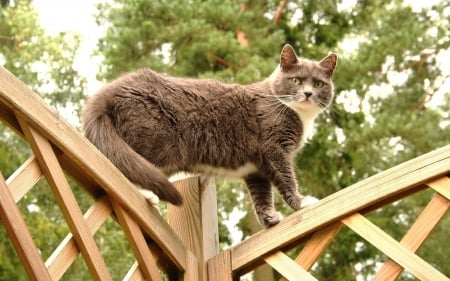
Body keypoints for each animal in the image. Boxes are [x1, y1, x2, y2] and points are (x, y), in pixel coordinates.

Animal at [81, 44, 336, 228]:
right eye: (296, 80)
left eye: (319, 83)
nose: (308, 93)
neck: (297, 113)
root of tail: (110, 89)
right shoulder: (274, 147)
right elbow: (285, 176)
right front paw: (302, 202)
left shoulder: (256, 169)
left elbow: (262, 195)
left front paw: (269, 219)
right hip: (154, 139)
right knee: (123, 165)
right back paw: (146, 194)